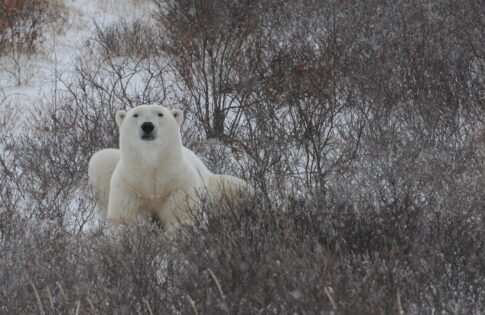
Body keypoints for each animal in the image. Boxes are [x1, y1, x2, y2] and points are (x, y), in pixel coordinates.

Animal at [88, 105, 253, 231]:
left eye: (160, 114)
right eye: (135, 115)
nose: (147, 125)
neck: (152, 164)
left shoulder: (178, 183)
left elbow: (182, 216)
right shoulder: (128, 184)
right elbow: (124, 219)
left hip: (215, 189)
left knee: (239, 188)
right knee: (99, 160)